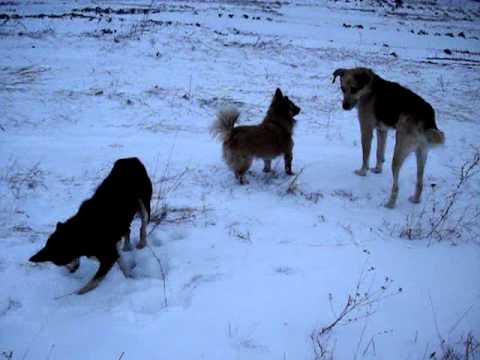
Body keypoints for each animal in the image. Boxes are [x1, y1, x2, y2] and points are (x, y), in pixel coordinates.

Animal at [29, 159, 152, 294]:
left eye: (60, 261)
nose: (71, 271)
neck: (82, 231)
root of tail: (130, 159)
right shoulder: (110, 252)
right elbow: (121, 263)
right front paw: (129, 277)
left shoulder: (108, 256)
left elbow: (92, 283)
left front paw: (78, 295)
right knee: (127, 230)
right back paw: (126, 246)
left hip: (144, 204)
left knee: (143, 226)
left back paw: (142, 243)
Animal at [332, 67, 444, 208]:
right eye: (342, 89)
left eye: (354, 89)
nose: (344, 107)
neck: (368, 87)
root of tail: (427, 117)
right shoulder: (382, 130)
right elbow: (379, 153)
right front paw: (378, 170)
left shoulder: (366, 129)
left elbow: (366, 155)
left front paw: (363, 172)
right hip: (421, 154)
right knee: (420, 182)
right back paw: (415, 199)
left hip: (398, 153)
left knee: (396, 186)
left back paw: (390, 204)